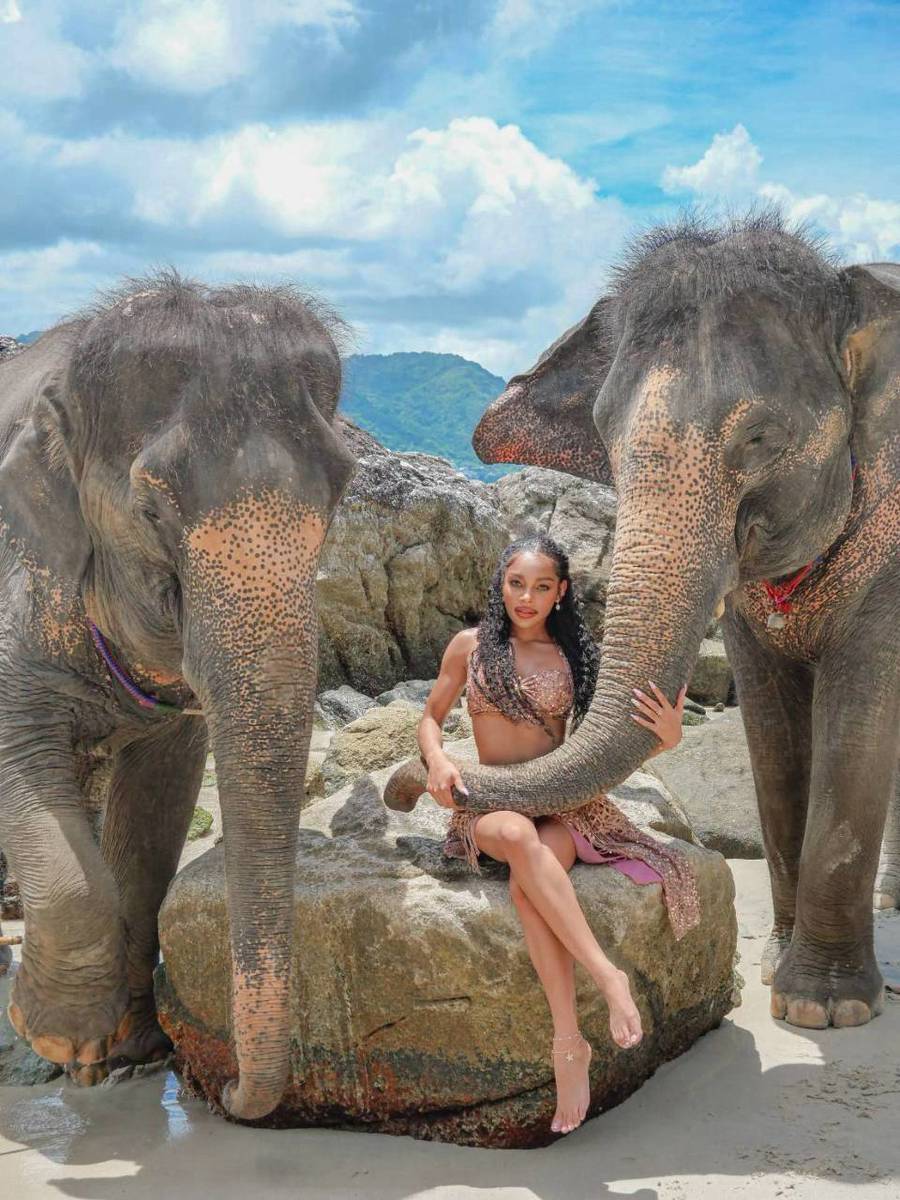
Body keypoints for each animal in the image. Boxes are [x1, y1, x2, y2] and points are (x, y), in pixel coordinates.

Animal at [0, 275, 355, 1118]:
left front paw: (124, 1053)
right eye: (153, 510)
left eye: (344, 488)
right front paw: (52, 1035)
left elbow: (155, 814)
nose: (225, 1089)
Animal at [386, 213, 899, 1031]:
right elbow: (772, 732)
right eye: (604, 434)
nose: (406, 795)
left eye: (760, 439)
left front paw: (825, 1008)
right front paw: (777, 967)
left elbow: (859, 723)